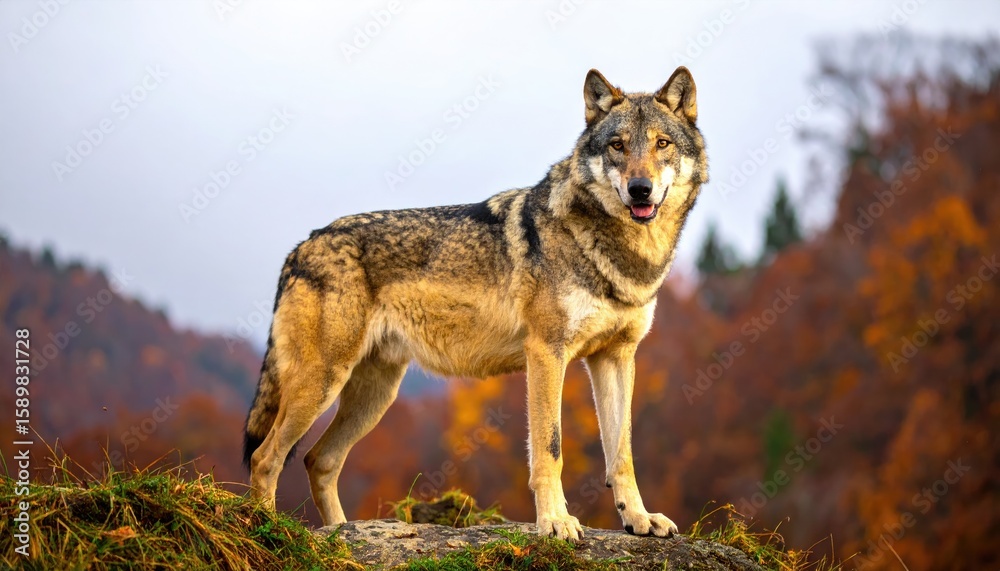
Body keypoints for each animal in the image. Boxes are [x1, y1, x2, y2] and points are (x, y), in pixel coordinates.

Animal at [244, 66, 708, 541]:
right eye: (617, 145)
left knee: (319, 460)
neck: (623, 255)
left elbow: (622, 452)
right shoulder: (547, 352)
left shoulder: (616, 357)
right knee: (266, 457)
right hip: (323, 383)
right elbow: (550, 447)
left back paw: (342, 531)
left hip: (374, 396)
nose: (640, 189)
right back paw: (267, 529)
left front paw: (639, 518)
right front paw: (556, 522)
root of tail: (301, 247)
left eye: (661, 143)